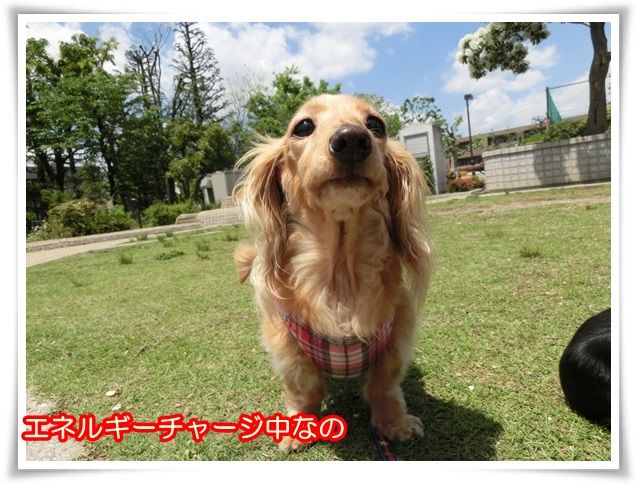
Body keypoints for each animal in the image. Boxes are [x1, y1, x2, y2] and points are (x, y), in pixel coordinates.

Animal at [233, 94, 433, 451]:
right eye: (302, 126)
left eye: (376, 124)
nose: (351, 139)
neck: (341, 279)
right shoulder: (287, 346)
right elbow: (304, 389)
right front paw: (298, 427)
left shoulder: (397, 334)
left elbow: (383, 386)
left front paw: (394, 423)